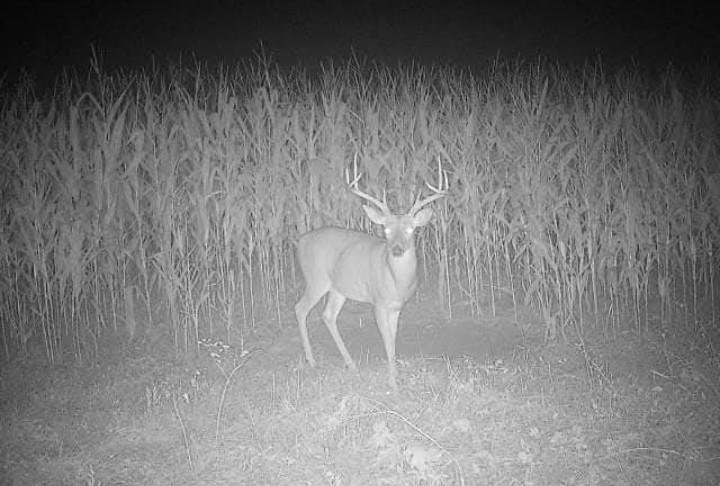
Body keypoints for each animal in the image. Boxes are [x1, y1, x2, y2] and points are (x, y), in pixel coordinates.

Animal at [294, 160, 447, 390]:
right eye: (386, 229)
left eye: (411, 229)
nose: (397, 249)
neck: (396, 281)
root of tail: (300, 242)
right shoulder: (378, 302)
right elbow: (387, 342)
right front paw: (393, 384)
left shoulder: (397, 307)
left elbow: (393, 340)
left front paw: (396, 377)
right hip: (316, 279)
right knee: (300, 308)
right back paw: (312, 361)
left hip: (339, 288)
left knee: (328, 315)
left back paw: (351, 364)